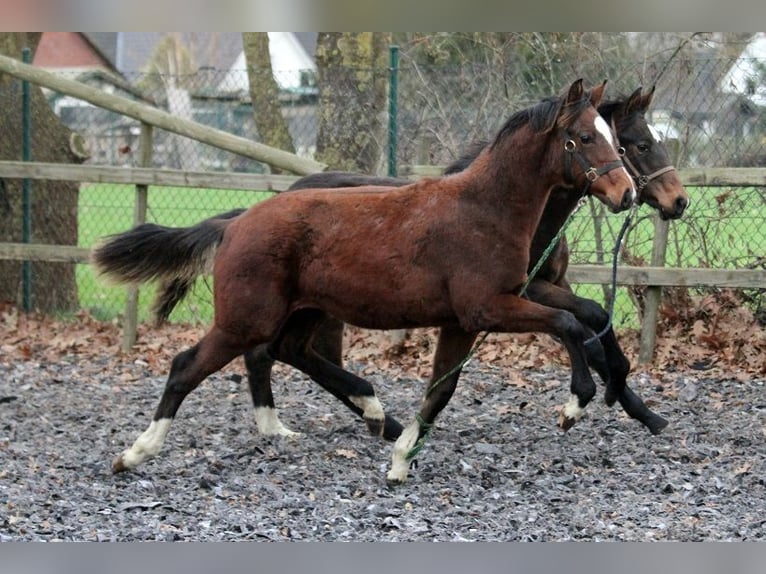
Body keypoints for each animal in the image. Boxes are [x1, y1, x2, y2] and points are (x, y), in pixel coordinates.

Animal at [94, 79, 636, 480]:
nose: (627, 194)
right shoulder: (488, 307)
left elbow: (441, 390)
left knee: (285, 352)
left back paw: (348, 415)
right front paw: (575, 404)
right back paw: (135, 454)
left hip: (305, 311)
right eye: (584, 138)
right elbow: (568, 323)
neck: (484, 210)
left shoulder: (461, 321)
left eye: (614, 137)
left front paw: (400, 461)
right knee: (189, 366)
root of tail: (236, 223)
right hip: (246, 319)